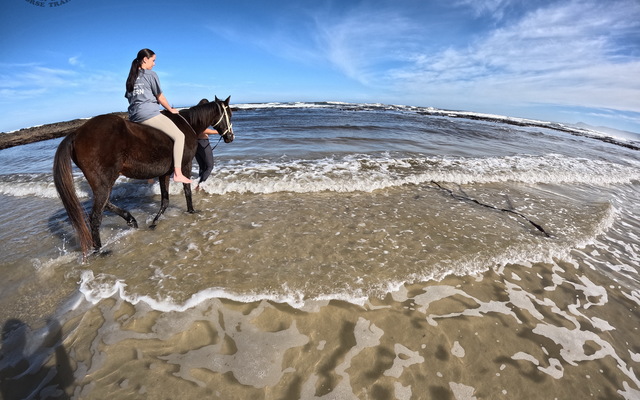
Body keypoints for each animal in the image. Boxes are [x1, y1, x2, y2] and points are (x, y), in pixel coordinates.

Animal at [53, 96, 234, 258]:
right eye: (229, 114)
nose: (230, 137)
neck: (187, 125)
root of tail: (77, 133)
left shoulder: (164, 173)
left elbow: (165, 200)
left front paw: (154, 222)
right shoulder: (185, 166)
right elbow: (187, 190)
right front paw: (191, 211)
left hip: (101, 182)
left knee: (104, 204)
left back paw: (131, 220)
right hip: (104, 181)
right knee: (95, 216)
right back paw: (100, 250)